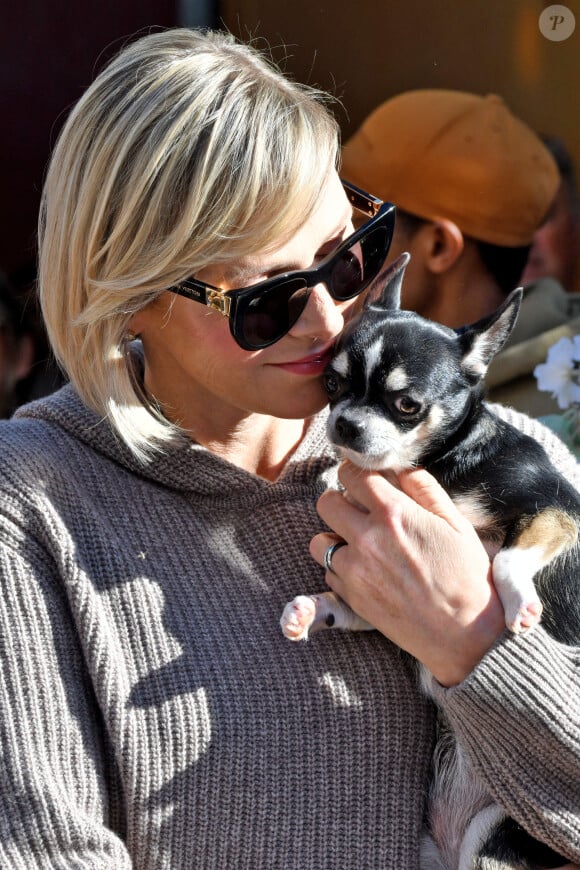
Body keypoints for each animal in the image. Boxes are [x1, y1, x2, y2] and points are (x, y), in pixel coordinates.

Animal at [280, 254, 580, 870]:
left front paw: (519, 603)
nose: (344, 423)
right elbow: (347, 606)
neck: (438, 462)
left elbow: (506, 559)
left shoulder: (557, 511)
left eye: (406, 405)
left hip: (501, 838)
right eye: (331, 384)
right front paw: (312, 608)